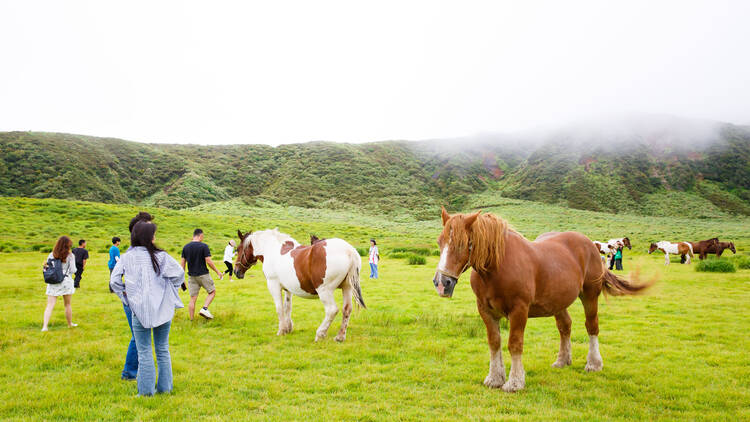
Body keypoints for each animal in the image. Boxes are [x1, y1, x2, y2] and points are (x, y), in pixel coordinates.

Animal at [234, 229, 366, 342]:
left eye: (238, 249)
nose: (236, 271)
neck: (272, 249)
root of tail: (349, 251)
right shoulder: (287, 289)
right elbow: (287, 307)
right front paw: (288, 328)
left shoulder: (273, 285)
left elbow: (279, 308)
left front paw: (281, 330)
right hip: (347, 288)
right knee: (347, 309)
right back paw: (340, 337)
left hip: (325, 291)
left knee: (332, 310)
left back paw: (320, 334)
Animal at [434, 208, 652, 392]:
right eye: (439, 242)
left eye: (463, 244)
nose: (441, 283)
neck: (497, 266)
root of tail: (589, 244)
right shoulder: (485, 310)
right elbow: (494, 342)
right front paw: (495, 378)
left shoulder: (519, 310)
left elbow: (514, 343)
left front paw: (514, 382)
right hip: (558, 301)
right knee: (565, 326)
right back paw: (563, 360)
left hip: (590, 295)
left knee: (592, 326)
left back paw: (594, 363)